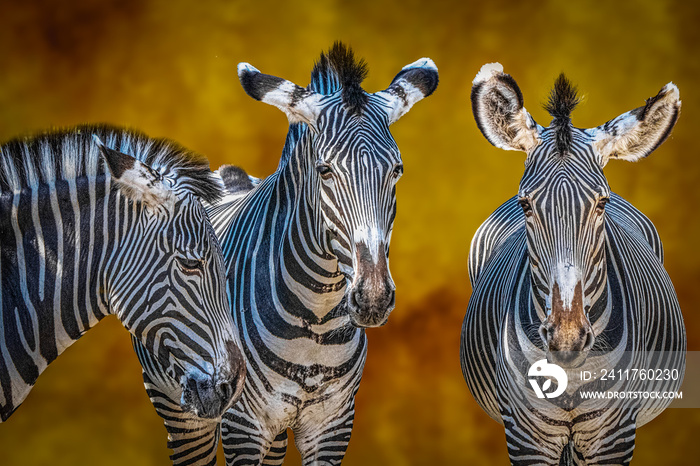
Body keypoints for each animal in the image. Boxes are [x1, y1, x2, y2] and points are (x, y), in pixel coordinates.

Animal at [132, 41, 438, 464]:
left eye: (397, 170)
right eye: (324, 171)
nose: (373, 298)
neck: (318, 322)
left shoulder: (333, 425)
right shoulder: (243, 424)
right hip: (182, 409)